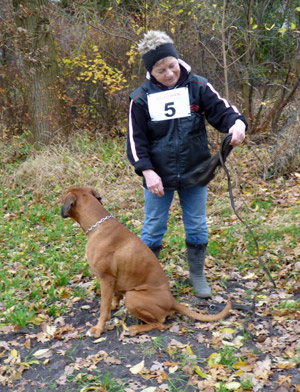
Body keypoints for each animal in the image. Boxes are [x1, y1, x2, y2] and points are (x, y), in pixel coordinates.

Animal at [60, 187, 230, 336]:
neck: (98, 225)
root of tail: (172, 301)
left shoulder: (106, 279)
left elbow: (103, 307)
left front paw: (98, 329)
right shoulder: (115, 280)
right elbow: (115, 296)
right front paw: (113, 306)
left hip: (133, 296)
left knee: (160, 323)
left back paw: (134, 329)